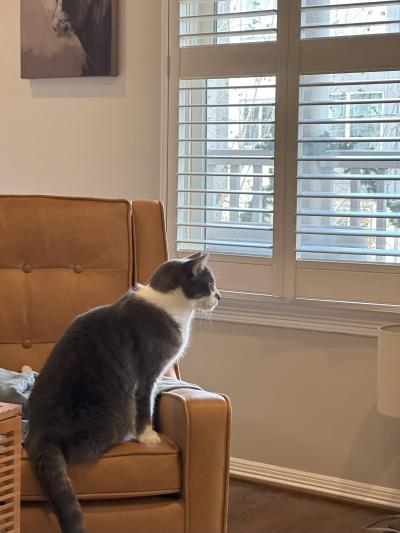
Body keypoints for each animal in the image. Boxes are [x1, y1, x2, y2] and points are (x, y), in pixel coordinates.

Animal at [25, 252, 219, 532]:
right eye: (209, 284)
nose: (220, 296)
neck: (171, 304)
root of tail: (39, 433)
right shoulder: (147, 372)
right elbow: (145, 406)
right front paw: (148, 436)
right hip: (113, 411)